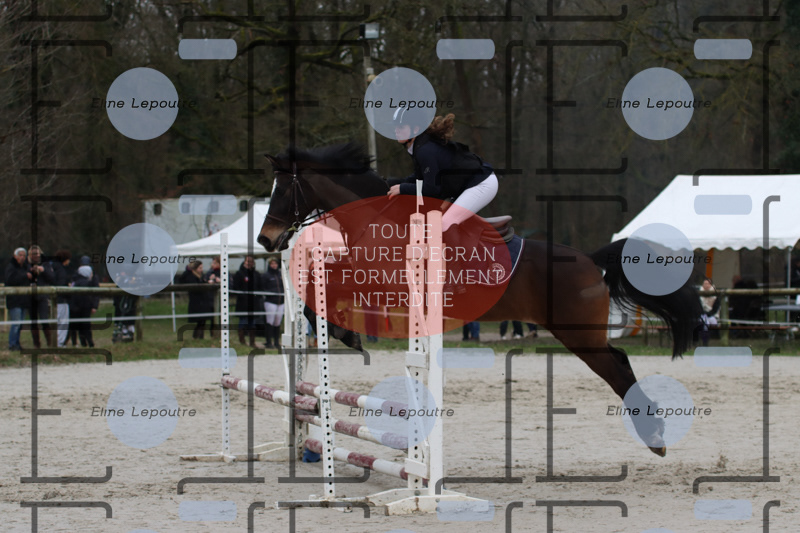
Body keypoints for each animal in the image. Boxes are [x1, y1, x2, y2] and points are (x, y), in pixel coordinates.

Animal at [257, 143, 703, 457]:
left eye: (284, 190)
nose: (264, 240)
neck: (375, 220)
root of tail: (591, 260)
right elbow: (320, 286)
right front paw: (340, 335)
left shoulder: (383, 283)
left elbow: (330, 287)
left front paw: (348, 336)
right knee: (620, 362)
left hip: (578, 334)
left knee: (618, 368)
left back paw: (655, 437)